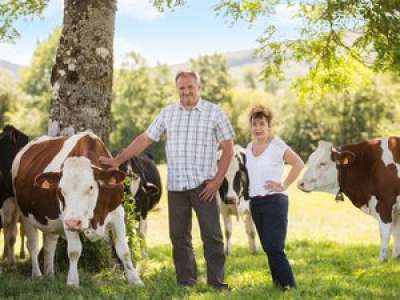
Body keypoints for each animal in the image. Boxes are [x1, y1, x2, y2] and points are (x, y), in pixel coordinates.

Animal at [10, 131, 144, 286]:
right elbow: (74, 251)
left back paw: (50, 274)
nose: (74, 222)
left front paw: (135, 280)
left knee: (49, 245)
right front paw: (73, 282)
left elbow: (124, 250)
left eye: (90, 187)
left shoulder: (117, 213)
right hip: (25, 215)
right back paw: (37, 275)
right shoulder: (67, 218)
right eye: (60, 190)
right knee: (32, 244)